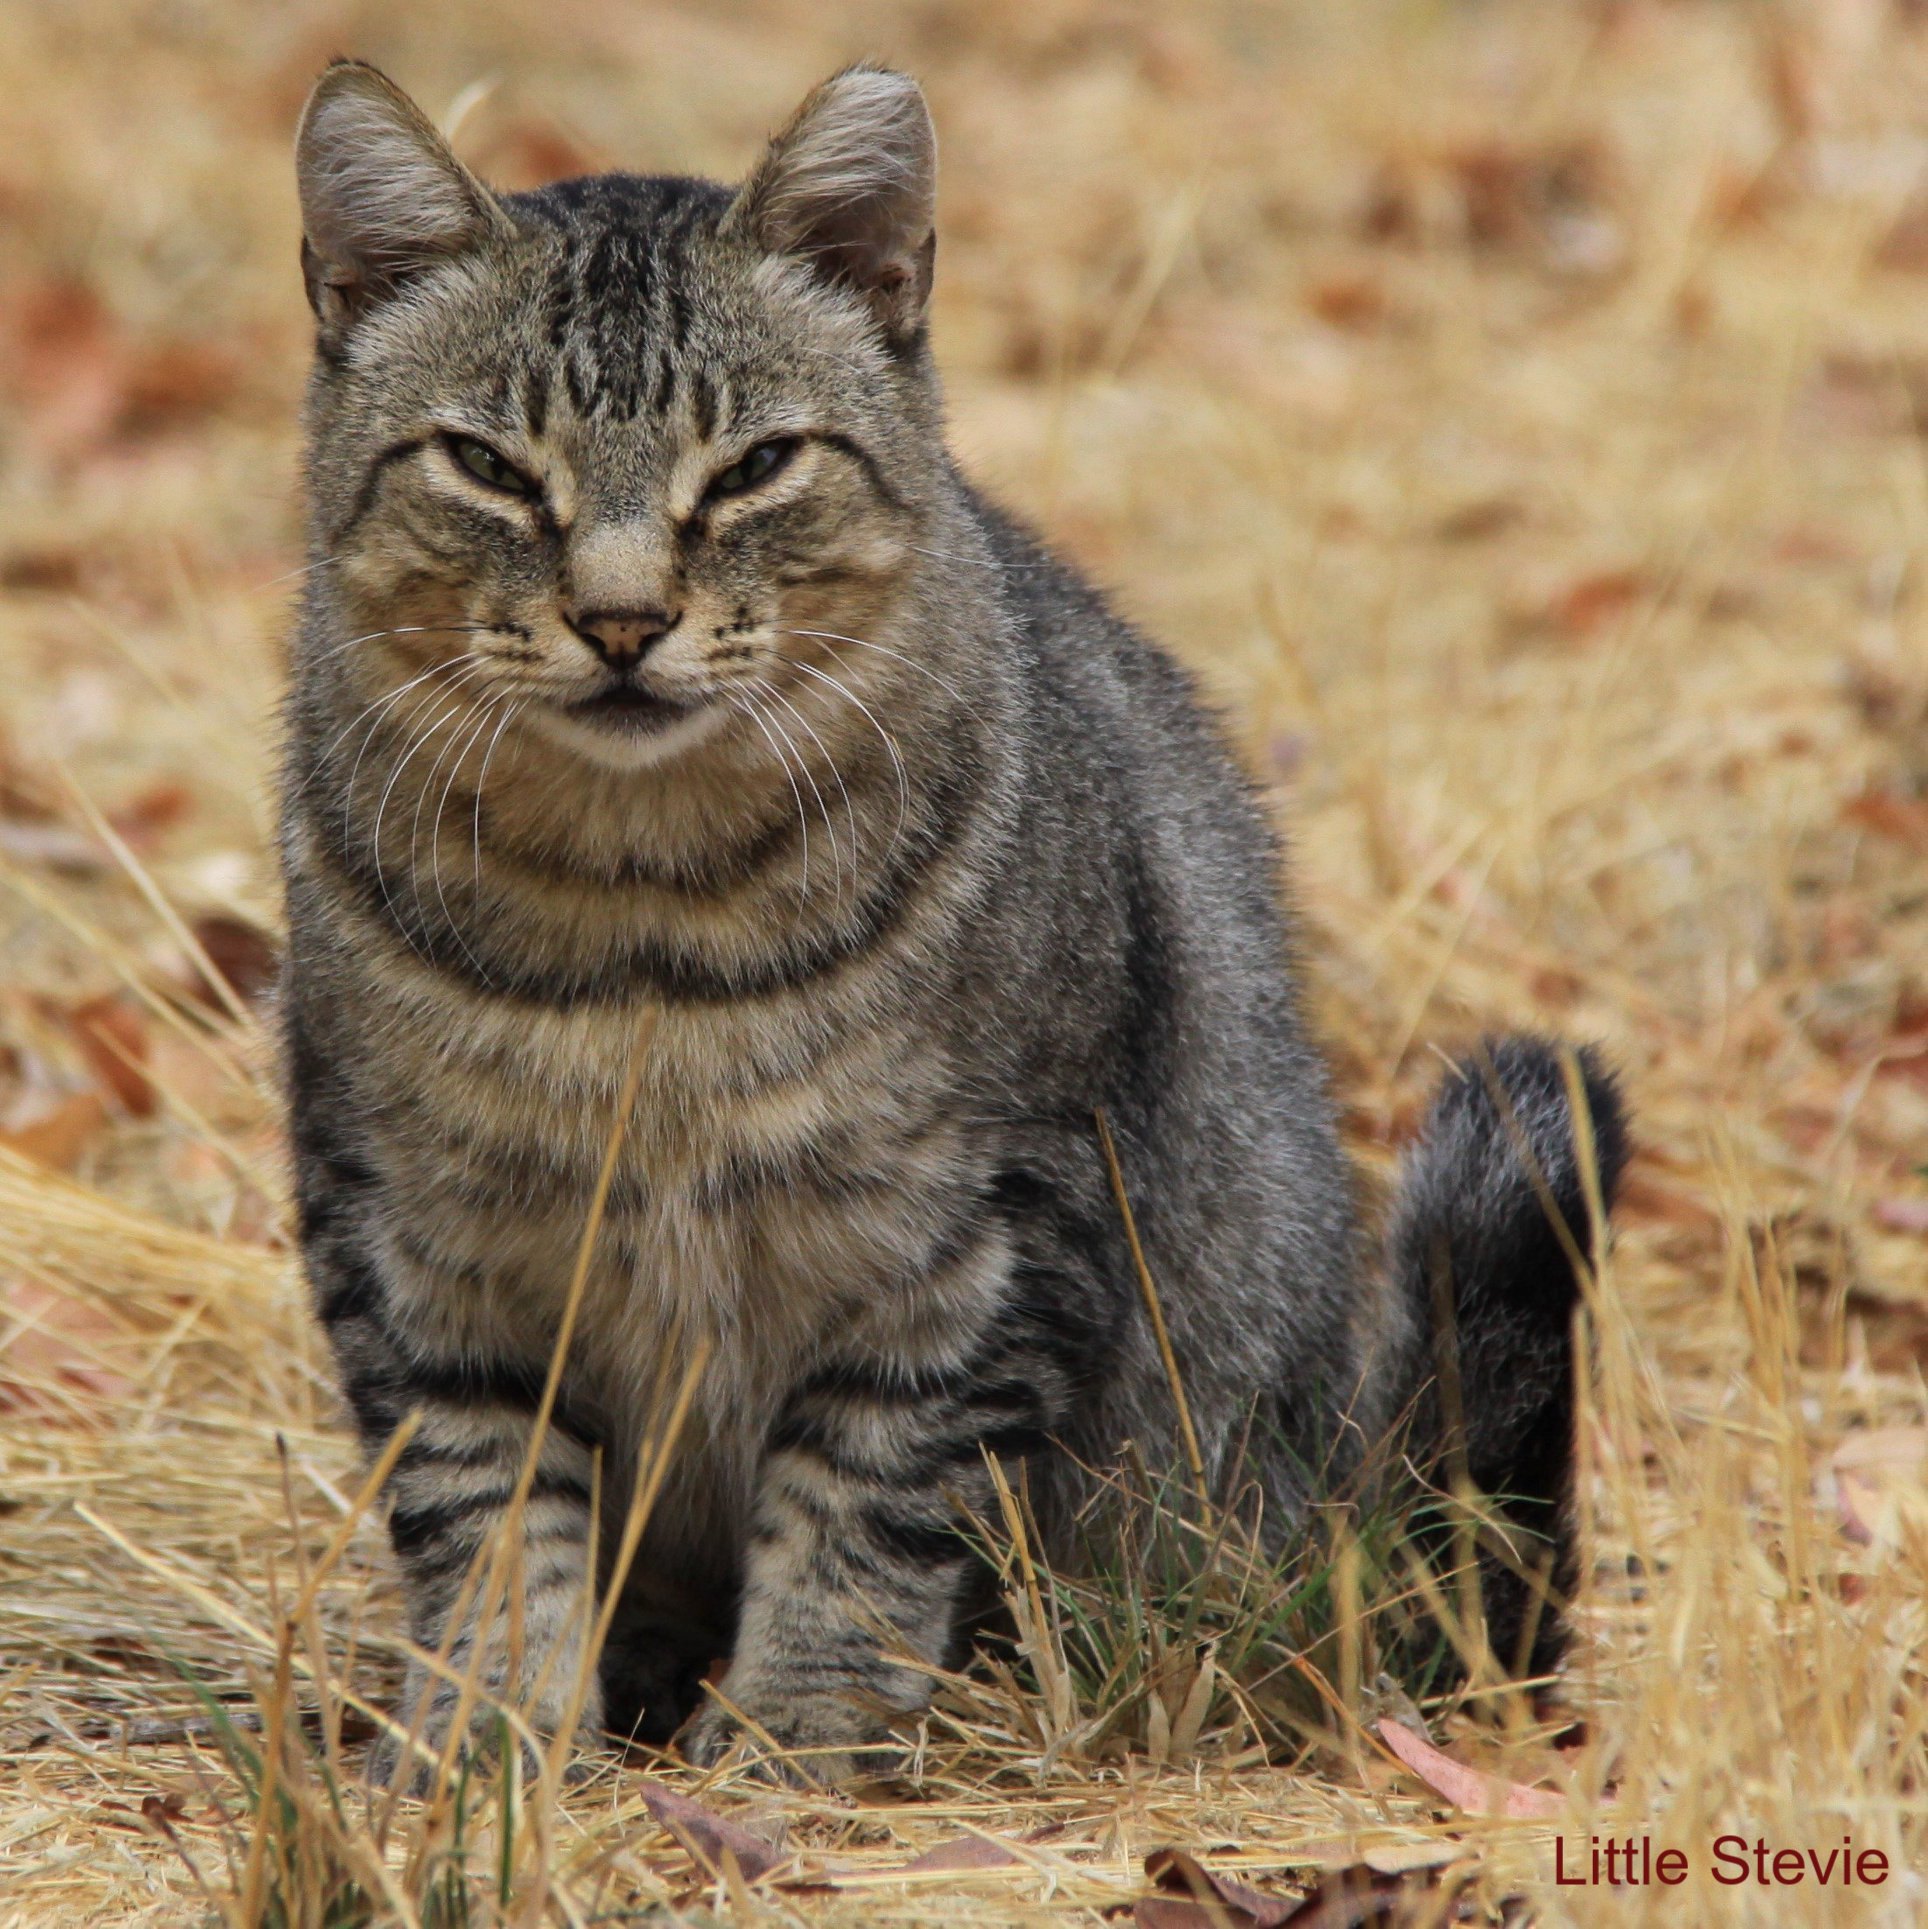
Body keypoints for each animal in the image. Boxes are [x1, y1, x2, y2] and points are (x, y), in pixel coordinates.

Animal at [282, 57, 1627, 1782]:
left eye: (754, 468)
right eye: (493, 469)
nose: (623, 621)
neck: (640, 917)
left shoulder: (982, 1236)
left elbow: (862, 1512)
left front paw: (797, 1737)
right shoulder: (403, 1239)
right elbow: (487, 1518)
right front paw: (483, 1745)